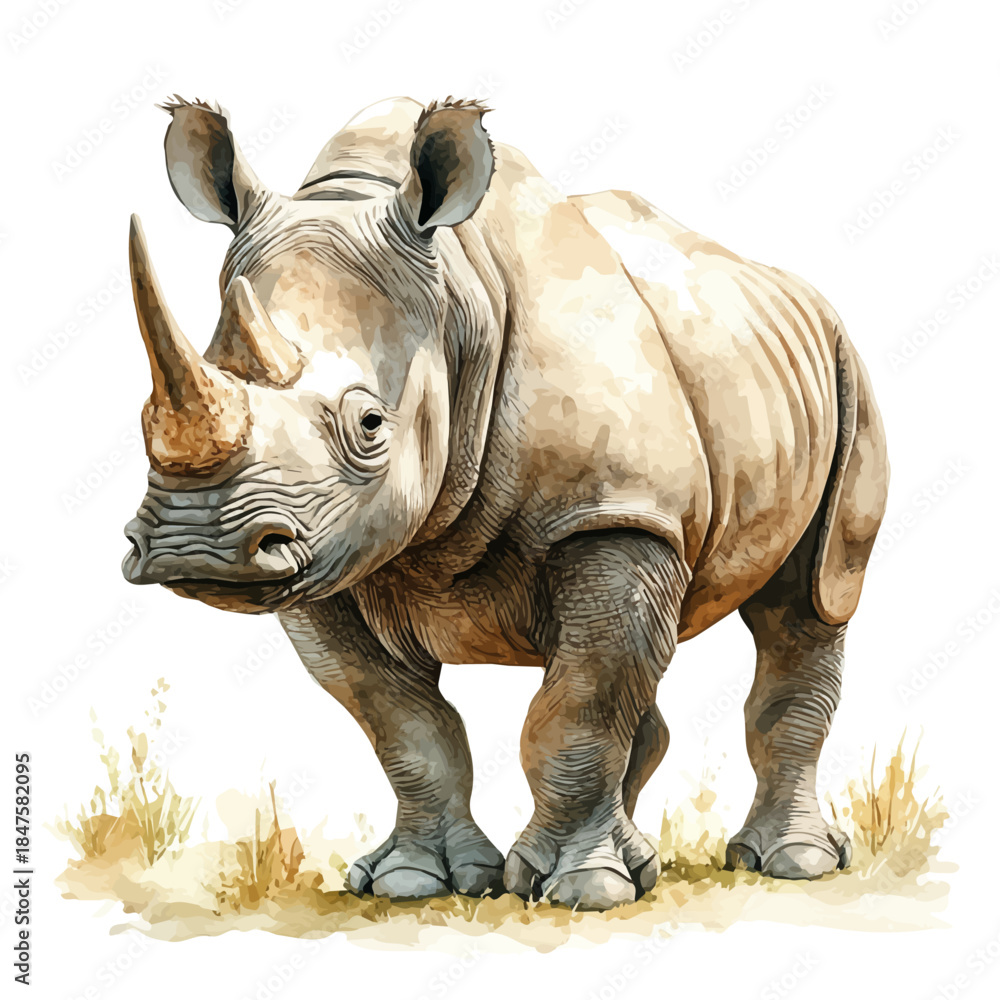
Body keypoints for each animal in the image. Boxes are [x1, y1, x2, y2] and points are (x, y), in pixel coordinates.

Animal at [122, 95, 889, 911]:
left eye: (370, 425)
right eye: (140, 417)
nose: (197, 549)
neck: (458, 302)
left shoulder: (613, 513)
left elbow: (575, 712)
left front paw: (584, 890)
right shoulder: (328, 556)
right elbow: (401, 722)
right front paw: (412, 881)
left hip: (845, 368)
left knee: (810, 602)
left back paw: (789, 862)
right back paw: (644, 861)